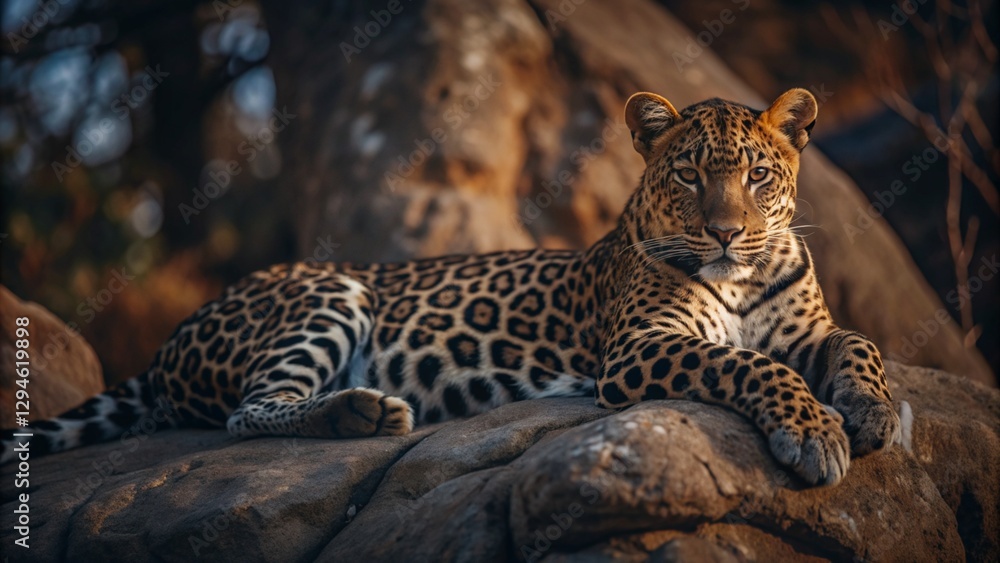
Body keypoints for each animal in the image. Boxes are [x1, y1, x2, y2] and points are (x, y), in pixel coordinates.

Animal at [1, 88, 900, 486]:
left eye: (757, 176)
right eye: (687, 175)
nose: (724, 231)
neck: (743, 278)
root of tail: (167, 345)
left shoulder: (809, 329)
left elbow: (860, 341)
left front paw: (871, 410)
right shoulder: (640, 348)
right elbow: (750, 364)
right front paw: (813, 432)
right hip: (329, 293)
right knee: (248, 412)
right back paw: (360, 410)